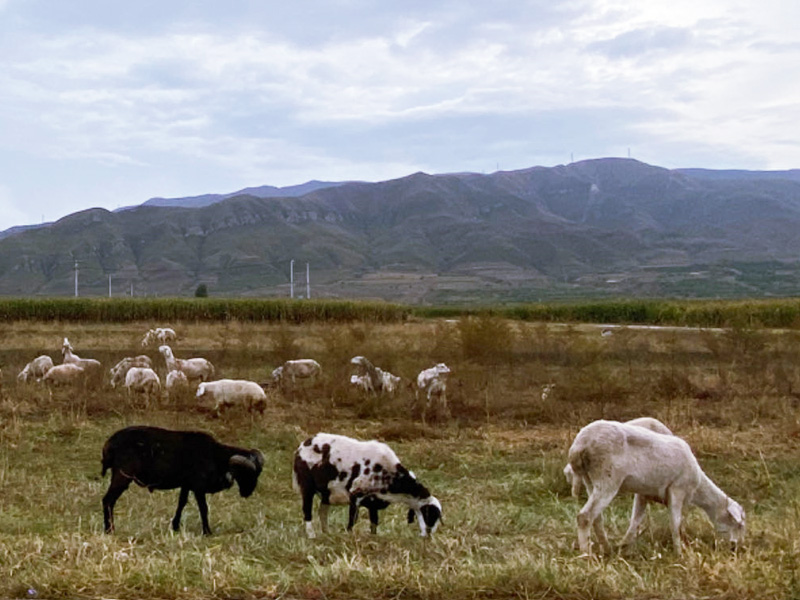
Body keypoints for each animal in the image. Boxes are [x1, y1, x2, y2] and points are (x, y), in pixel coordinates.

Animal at [101, 424, 266, 536]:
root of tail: (109, 444)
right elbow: (204, 508)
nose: (247, 493)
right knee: (108, 500)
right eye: (246, 473)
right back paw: (110, 530)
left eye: (258, 473)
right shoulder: (199, 487)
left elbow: (181, 503)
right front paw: (207, 532)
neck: (215, 456)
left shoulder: (186, 485)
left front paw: (175, 526)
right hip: (122, 475)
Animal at [292, 432, 444, 540]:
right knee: (307, 511)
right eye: (430, 514)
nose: (428, 536)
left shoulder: (373, 501)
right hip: (307, 486)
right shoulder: (355, 494)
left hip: (326, 492)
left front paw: (373, 538)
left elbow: (374, 522)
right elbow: (352, 521)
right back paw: (311, 535)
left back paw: (327, 534)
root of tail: (301, 447)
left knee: (322, 512)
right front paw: (349, 537)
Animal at [568, 420, 744, 556]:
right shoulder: (677, 489)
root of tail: (579, 446)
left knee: (597, 518)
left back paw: (606, 549)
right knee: (584, 517)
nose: (734, 548)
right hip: (608, 478)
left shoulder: (644, 493)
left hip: (590, 480)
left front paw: (625, 546)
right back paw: (586, 554)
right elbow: (675, 524)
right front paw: (680, 553)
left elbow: (636, 520)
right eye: (738, 524)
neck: (698, 487)